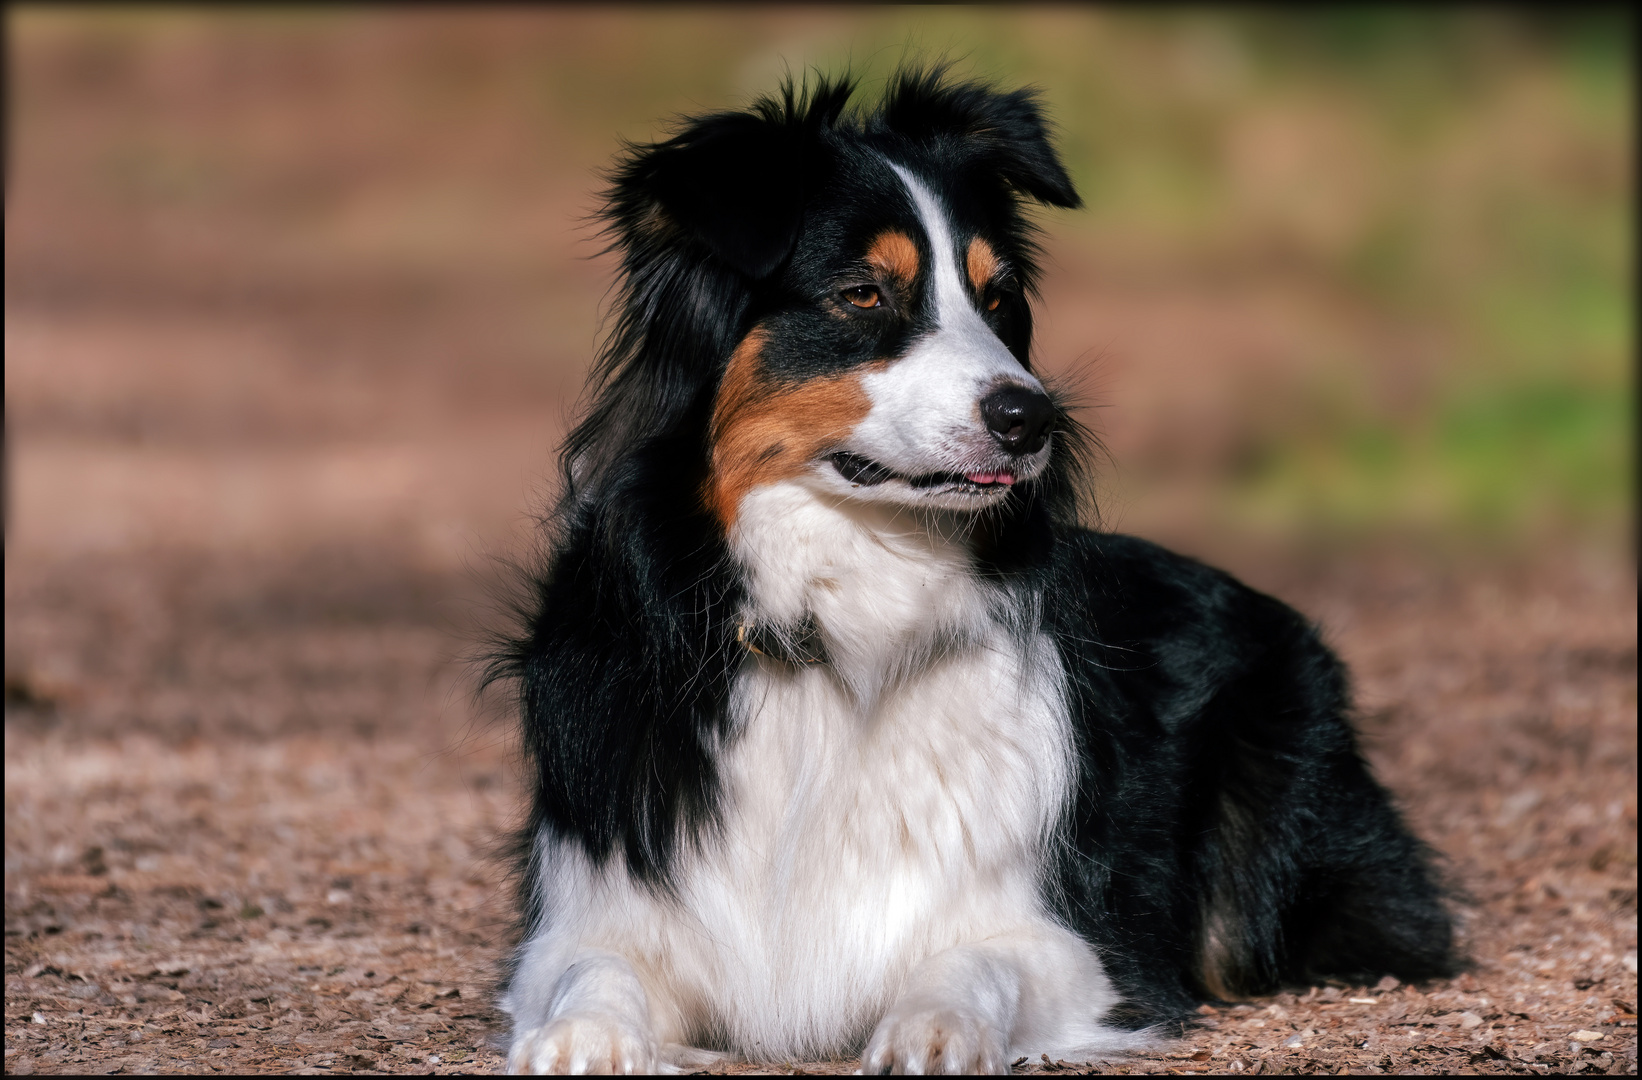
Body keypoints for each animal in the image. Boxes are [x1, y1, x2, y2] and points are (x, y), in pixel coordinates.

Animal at [482, 71, 1451, 1070]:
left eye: (1000, 297)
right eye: (863, 294)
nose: (1032, 418)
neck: (838, 622)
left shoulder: (1078, 942)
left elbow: (973, 963)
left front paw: (933, 1028)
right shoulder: (595, 909)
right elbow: (592, 972)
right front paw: (582, 1038)